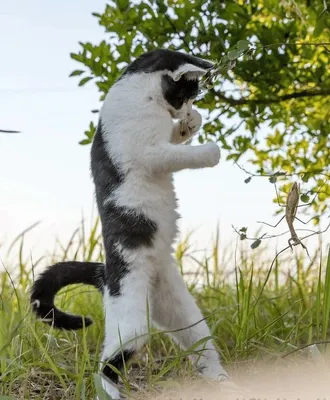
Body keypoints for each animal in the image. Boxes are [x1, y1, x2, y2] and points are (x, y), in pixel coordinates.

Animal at [31, 48, 229, 398]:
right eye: (184, 95)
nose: (185, 109)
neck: (137, 91)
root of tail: (105, 272)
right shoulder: (149, 152)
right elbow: (180, 154)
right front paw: (210, 149)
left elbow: (177, 138)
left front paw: (191, 123)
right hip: (132, 321)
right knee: (106, 364)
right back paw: (110, 391)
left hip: (181, 310)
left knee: (199, 344)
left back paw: (221, 379)